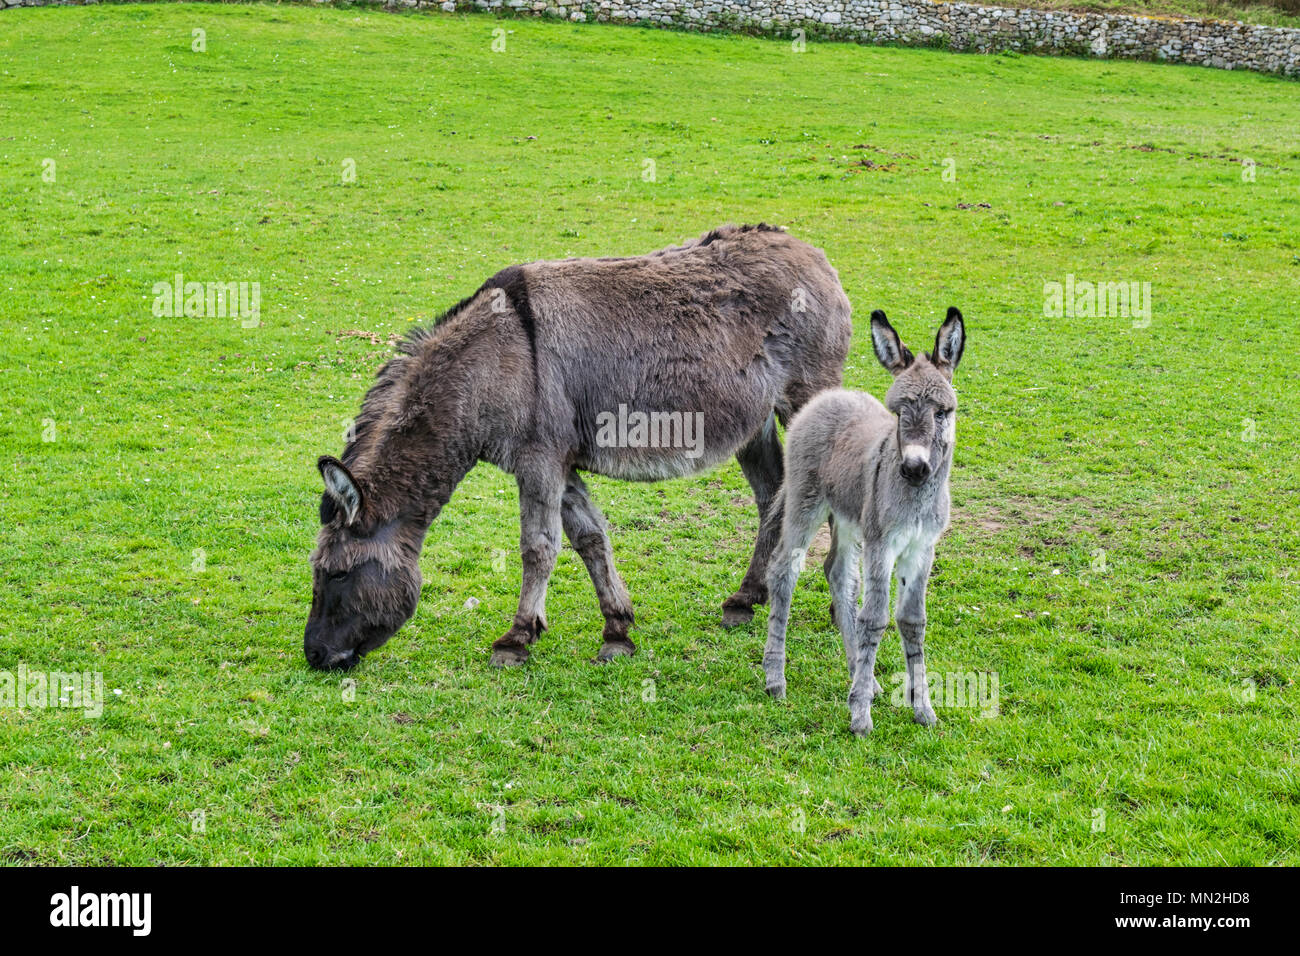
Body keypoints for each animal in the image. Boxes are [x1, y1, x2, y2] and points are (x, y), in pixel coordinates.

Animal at [759, 306, 967, 733]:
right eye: (898, 412)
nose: (914, 468)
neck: (915, 498)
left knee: (837, 573)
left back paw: (863, 676)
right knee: (783, 571)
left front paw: (923, 709)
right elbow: (874, 618)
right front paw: (859, 716)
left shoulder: (922, 549)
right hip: (806, 505)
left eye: (942, 412)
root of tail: (830, 396)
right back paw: (776, 679)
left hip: (847, 519)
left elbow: (912, 620)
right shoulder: (881, 543)